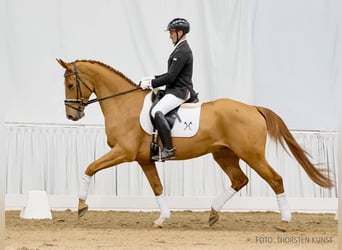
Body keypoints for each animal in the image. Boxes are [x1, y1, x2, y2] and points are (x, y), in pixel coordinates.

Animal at [57, 59, 332, 231]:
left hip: (251, 154)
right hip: (224, 154)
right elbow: (157, 188)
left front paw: (81, 207)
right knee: (239, 180)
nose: (72, 115)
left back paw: (284, 222)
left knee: (275, 180)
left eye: (70, 84)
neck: (124, 105)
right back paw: (212, 213)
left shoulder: (123, 152)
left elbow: (89, 168)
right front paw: (162, 219)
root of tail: (253, 108)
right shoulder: (144, 159)